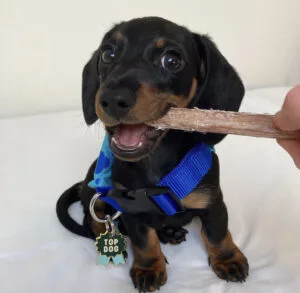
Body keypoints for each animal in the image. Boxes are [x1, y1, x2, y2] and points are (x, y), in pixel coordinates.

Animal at [56, 17, 248, 290]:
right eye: (107, 54)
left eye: (172, 60)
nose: (112, 99)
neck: (156, 162)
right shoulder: (130, 207)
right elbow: (143, 240)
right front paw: (148, 267)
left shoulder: (212, 200)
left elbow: (217, 233)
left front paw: (228, 259)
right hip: (95, 186)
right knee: (93, 219)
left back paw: (169, 232)